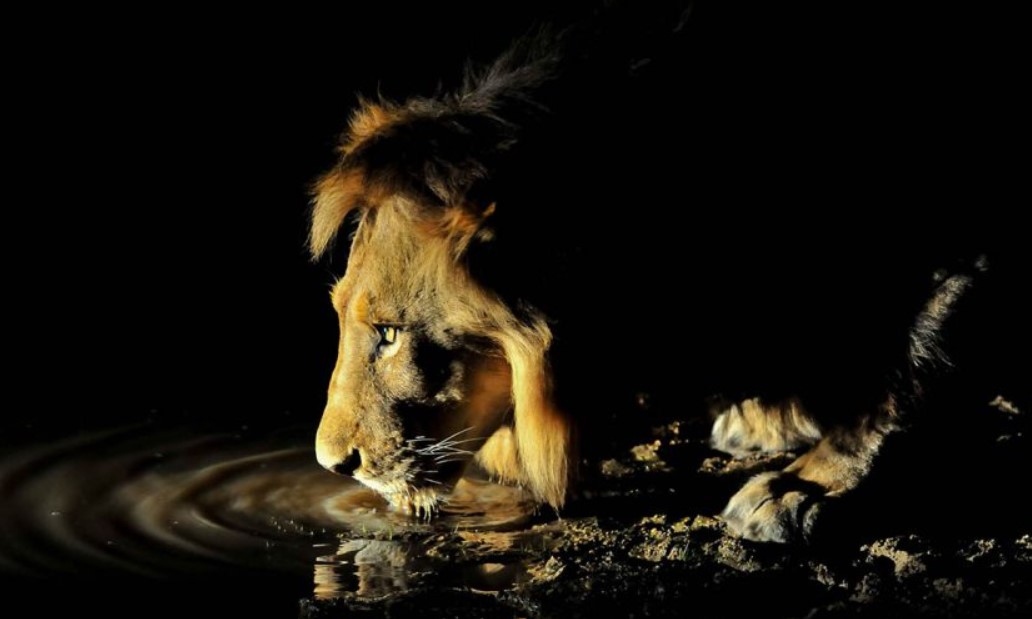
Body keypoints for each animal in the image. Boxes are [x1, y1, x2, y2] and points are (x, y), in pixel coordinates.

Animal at [308, 37, 1022, 541]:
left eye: (390, 334)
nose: (332, 464)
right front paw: (767, 422)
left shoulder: (966, 247)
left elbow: (915, 361)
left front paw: (806, 486)